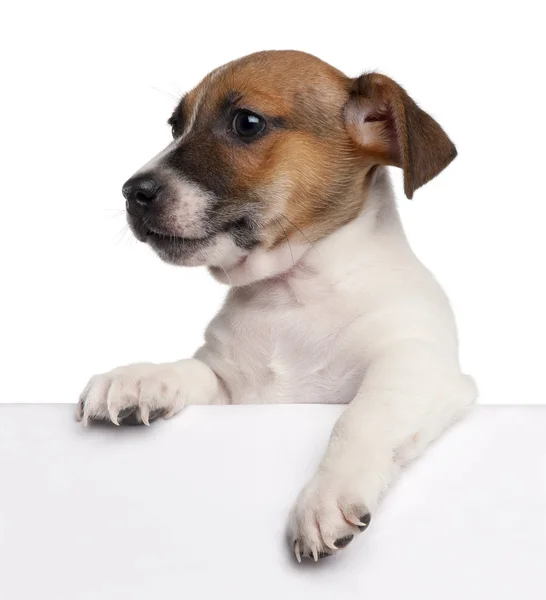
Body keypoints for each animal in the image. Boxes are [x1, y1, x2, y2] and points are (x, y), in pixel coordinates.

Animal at [77, 49, 476, 560]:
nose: (132, 192)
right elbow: (191, 370)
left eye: (247, 123)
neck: (291, 294)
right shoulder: (233, 392)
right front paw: (140, 377)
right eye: (175, 126)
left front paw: (326, 495)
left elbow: (359, 418)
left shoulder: (416, 365)